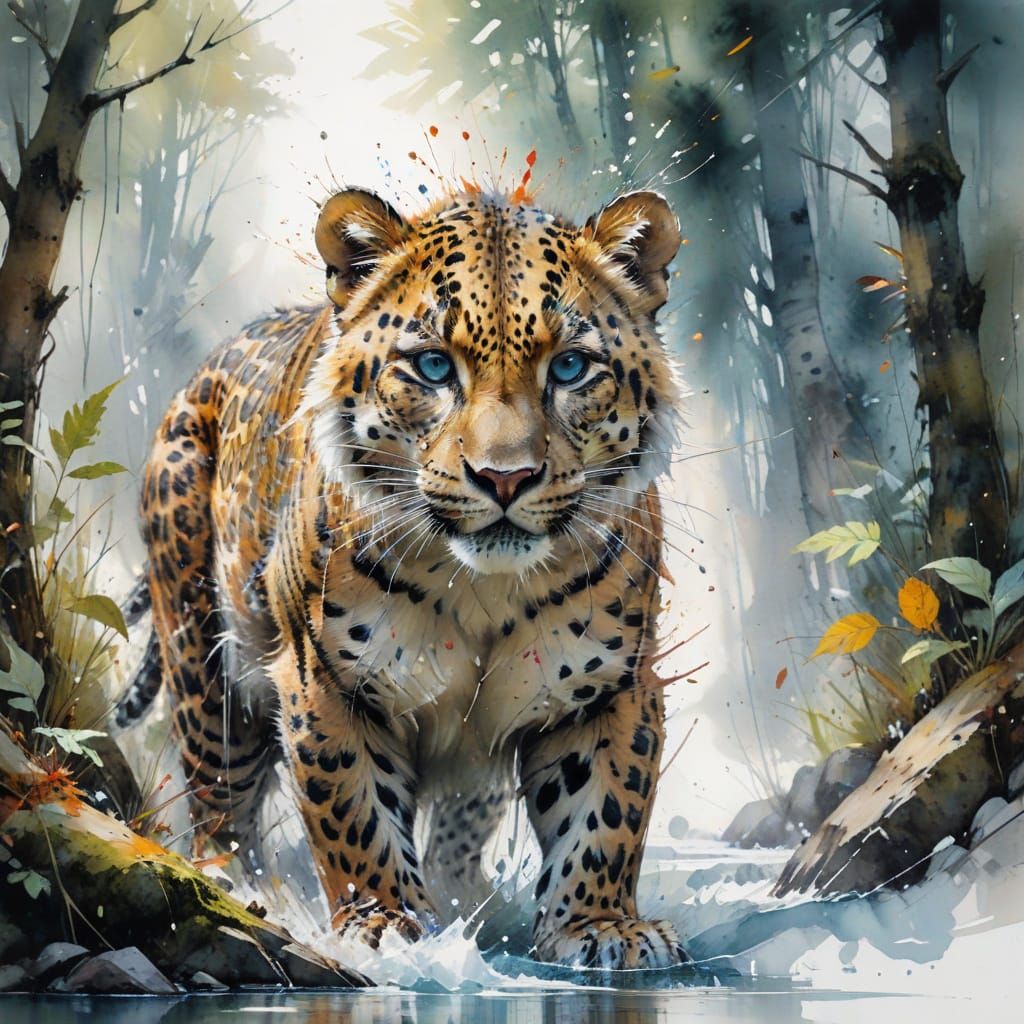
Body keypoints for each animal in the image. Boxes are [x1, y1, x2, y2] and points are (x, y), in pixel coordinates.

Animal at [121, 184, 688, 970]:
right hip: (205, 667)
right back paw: (240, 892)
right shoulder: (325, 680)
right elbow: (355, 811)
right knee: (219, 806)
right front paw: (388, 924)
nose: (504, 477)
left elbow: (606, 813)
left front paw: (600, 928)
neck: (484, 590)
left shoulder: (611, 685)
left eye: (571, 368)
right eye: (434, 368)